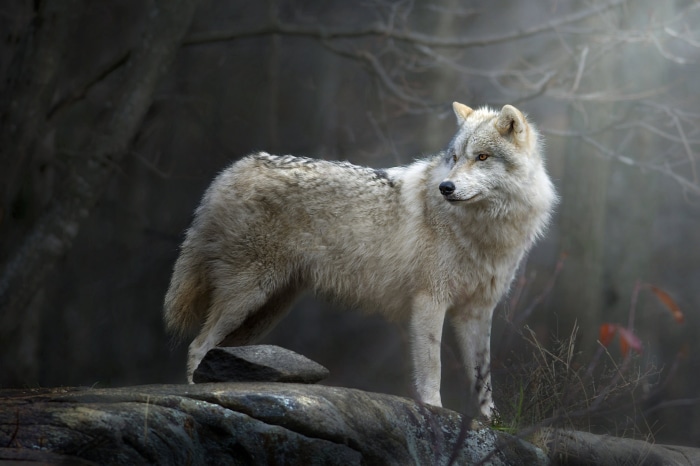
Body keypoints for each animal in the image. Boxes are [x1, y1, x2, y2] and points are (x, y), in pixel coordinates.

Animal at [164, 102, 556, 418]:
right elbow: (432, 367)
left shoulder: (477, 313)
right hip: (248, 297)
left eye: (482, 157)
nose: (446, 188)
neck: (486, 230)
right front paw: (435, 410)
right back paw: (199, 395)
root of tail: (233, 170)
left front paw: (493, 423)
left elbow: (483, 379)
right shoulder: (429, 301)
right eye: (456, 158)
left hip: (263, 313)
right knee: (198, 345)